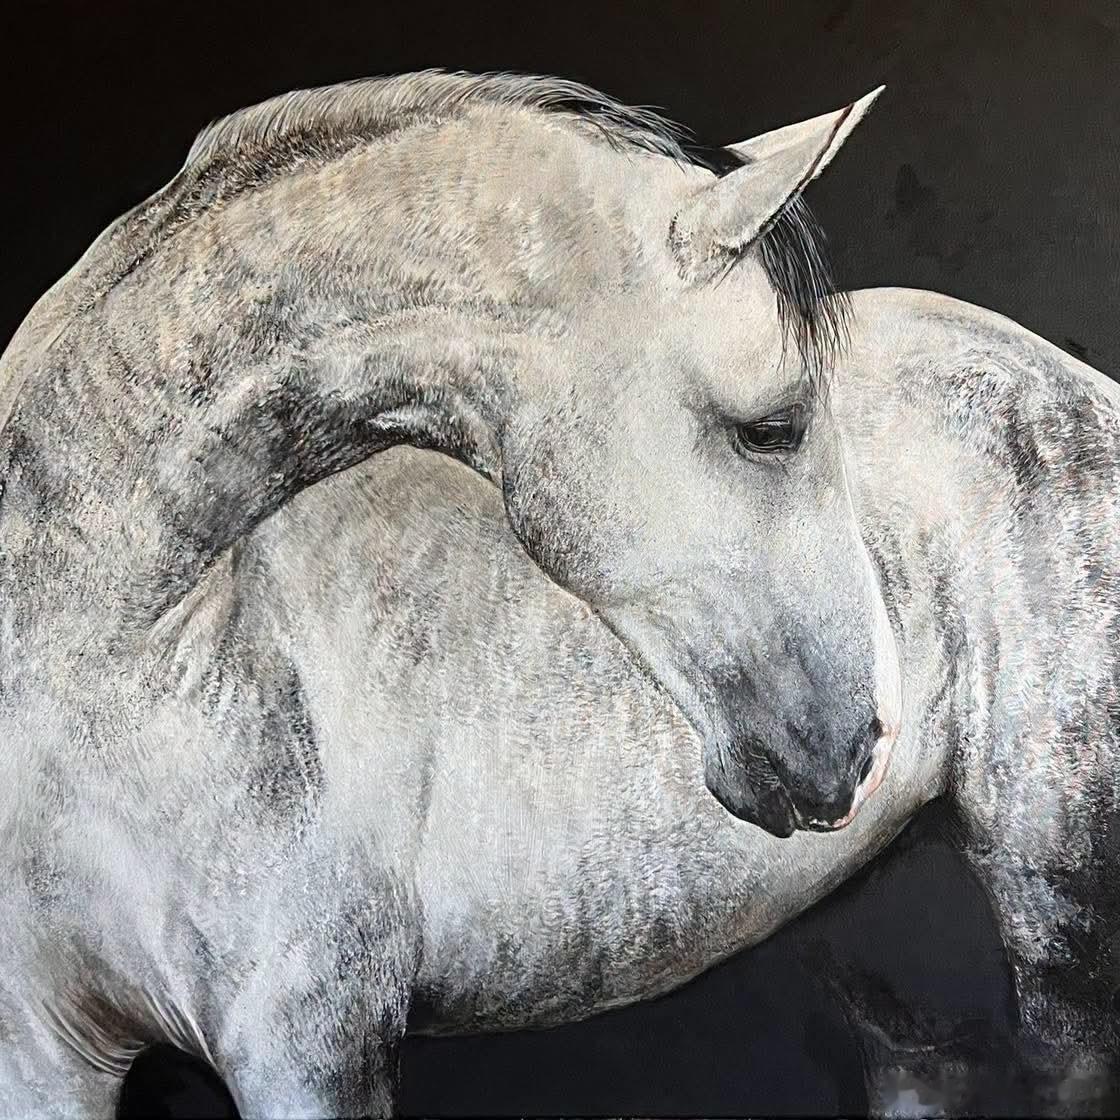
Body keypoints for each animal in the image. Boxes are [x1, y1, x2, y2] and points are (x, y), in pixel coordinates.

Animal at [0, 69, 1115, 1117]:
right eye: (774, 427)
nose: (862, 743)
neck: (116, 666)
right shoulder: (44, 1057)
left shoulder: (307, 1046)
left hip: (1058, 922)